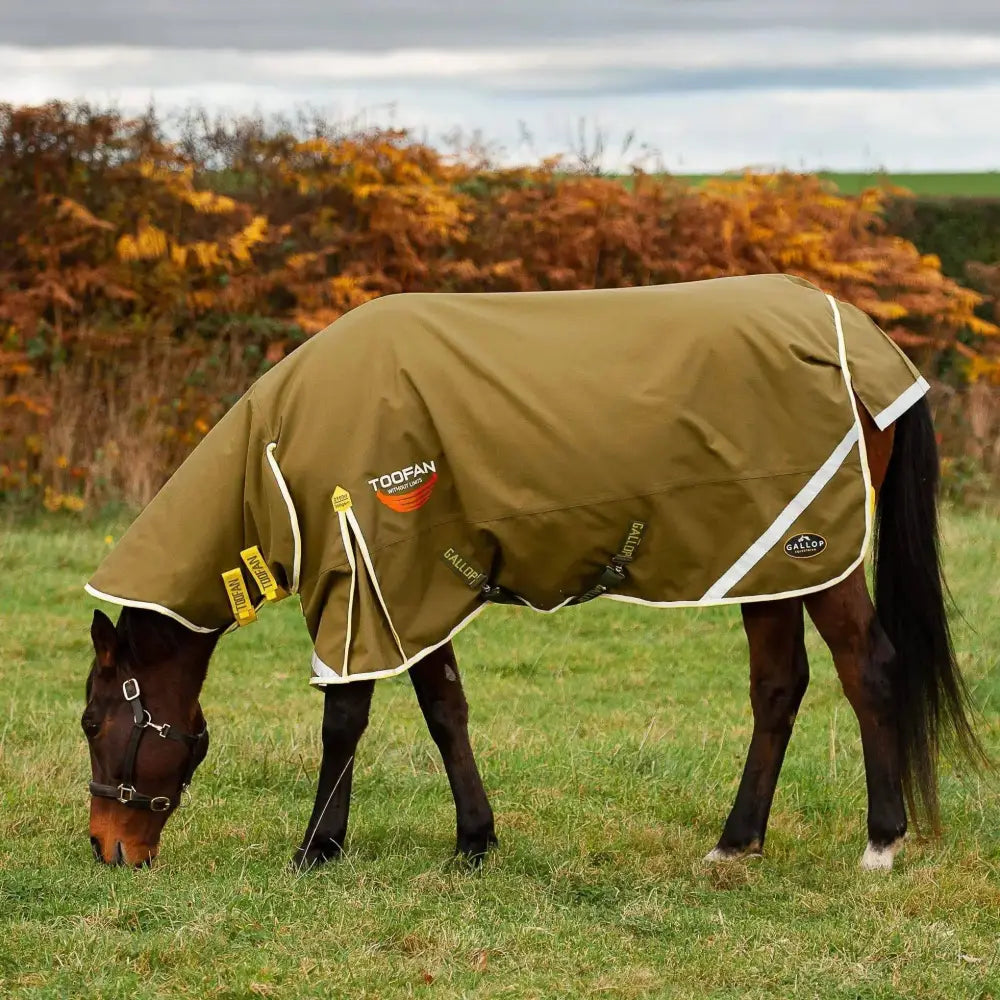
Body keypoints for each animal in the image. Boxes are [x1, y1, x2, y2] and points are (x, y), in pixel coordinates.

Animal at [80, 394, 984, 872]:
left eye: (92, 722)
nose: (104, 846)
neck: (283, 445)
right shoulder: (408, 590)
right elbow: (445, 710)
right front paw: (475, 840)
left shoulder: (368, 585)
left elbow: (345, 719)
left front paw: (316, 848)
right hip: (766, 566)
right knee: (779, 687)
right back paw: (735, 844)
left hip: (819, 557)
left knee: (869, 670)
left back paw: (880, 843)